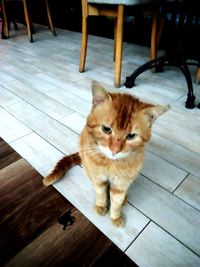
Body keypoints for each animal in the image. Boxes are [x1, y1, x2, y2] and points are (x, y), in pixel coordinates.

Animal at [43, 80, 169, 227]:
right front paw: (101, 206)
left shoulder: (121, 184)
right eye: (106, 129)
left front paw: (115, 217)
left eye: (131, 136)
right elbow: (101, 194)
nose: (115, 150)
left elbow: (116, 202)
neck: (111, 163)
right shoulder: (98, 179)